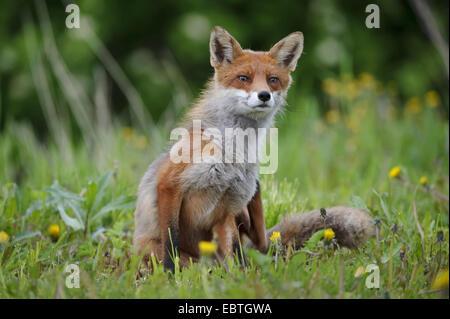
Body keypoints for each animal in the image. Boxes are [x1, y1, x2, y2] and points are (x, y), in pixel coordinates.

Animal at [134, 26, 372, 272]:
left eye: (272, 80)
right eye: (243, 78)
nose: (264, 95)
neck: (232, 152)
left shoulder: (228, 208)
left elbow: (235, 253)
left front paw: (242, 278)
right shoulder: (170, 183)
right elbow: (171, 240)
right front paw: (170, 274)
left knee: (248, 247)